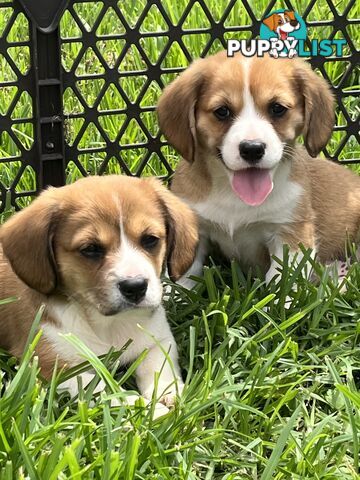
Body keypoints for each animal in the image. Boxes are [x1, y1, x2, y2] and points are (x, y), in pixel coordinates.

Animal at [158, 51, 360, 286]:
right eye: (222, 111)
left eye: (277, 108)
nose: (252, 149)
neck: (232, 194)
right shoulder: (193, 231)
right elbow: (184, 277)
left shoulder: (290, 233)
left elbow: (281, 282)